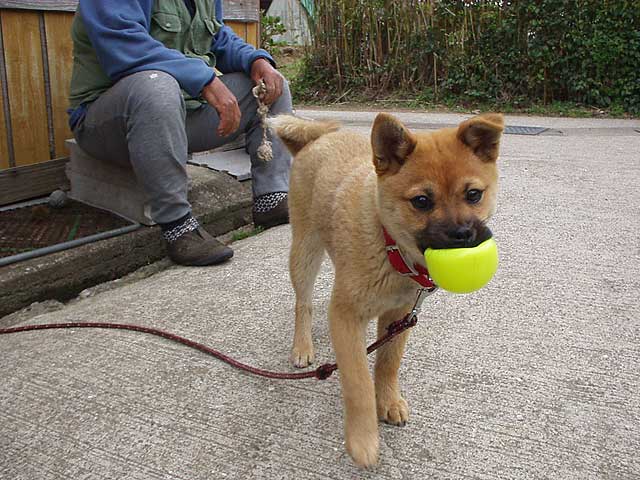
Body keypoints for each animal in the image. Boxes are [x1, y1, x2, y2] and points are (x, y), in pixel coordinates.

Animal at [272, 111, 502, 464]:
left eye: (473, 195)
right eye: (421, 201)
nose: (464, 235)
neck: (390, 246)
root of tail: (320, 136)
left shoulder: (400, 315)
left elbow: (387, 363)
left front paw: (389, 401)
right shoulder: (346, 316)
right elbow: (358, 384)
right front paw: (363, 439)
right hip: (305, 251)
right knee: (304, 303)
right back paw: (302, 345)